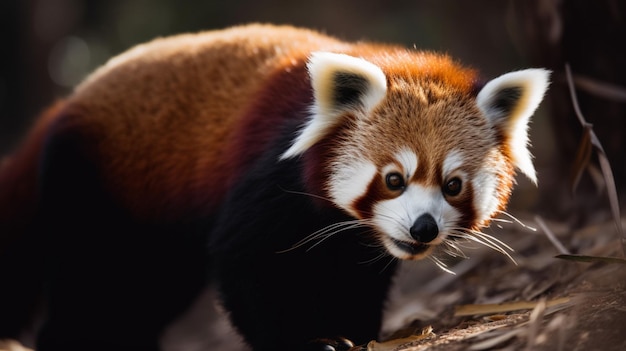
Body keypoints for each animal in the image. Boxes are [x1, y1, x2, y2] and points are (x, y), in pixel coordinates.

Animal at [0, 24, 544, 351]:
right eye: (394, 179)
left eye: (452, 185)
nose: (424, 228)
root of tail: (62, 107)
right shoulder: (268, 174)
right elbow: (247, 265)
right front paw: (305, 341)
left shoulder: (357, 238)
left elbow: (355, 276)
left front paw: (352, 331)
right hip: (92, 186)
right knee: (92, 285)